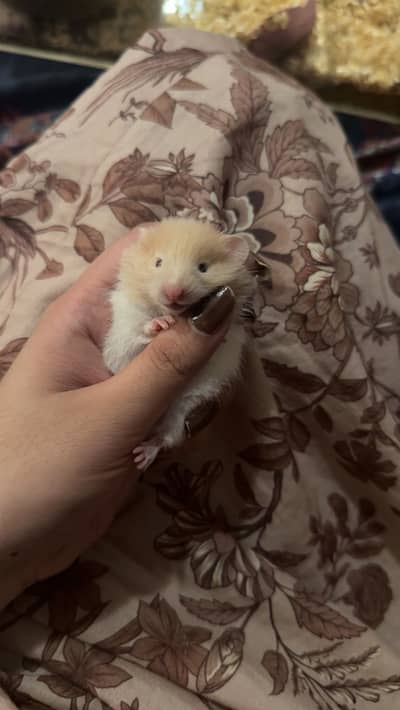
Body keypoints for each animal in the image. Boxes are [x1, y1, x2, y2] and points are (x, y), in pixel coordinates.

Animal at [103, 217, 255, 471]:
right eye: (158, 262)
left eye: (203, 267)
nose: (174, 293)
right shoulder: (122, 338)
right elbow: (138, 334)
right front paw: (160, 324)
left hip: (182, 410)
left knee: (167, 438)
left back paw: (143, 456)